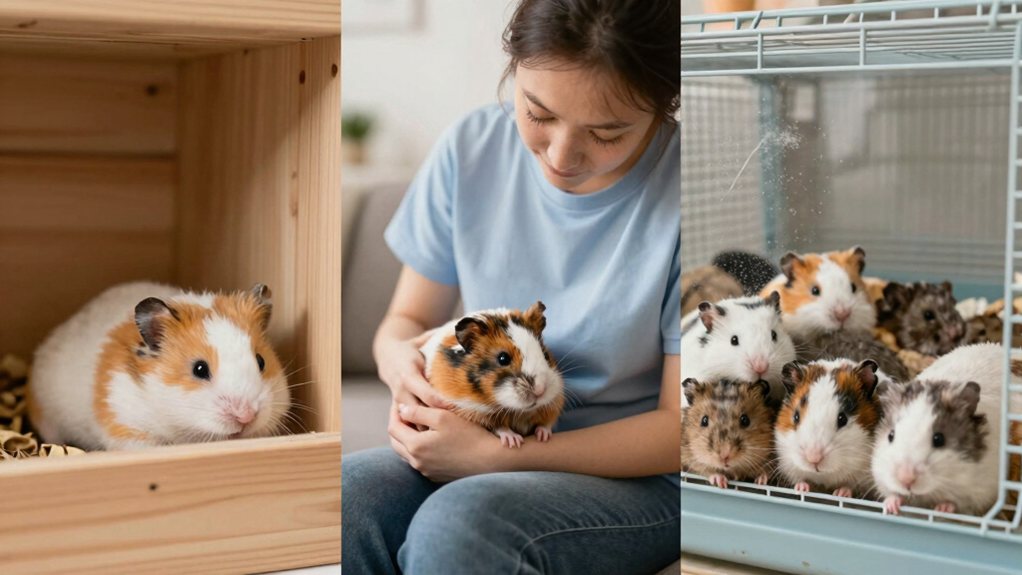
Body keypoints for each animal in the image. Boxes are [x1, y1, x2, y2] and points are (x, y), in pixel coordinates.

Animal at [420, 301, 564, 448]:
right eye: (503, 358)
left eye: (545, 355)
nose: (540, 390)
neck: (520, 412)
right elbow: (499, 427)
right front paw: (514, 442)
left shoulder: (555, 402)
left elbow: (546, 423)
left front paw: (543, 437)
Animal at [775, 359, 883, 498]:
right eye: (796, 416)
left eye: (843, 419)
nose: (813, 458)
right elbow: (800, 480)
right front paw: (802, 489)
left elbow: (849, 486)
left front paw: (840, 494)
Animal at [872, 343, 1022, 516]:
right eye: (891, 436)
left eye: (939, 439)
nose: (906, 479)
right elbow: (892, 493)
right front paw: (892, 506)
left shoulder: (979, 491)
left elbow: (956, 503)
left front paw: (942, 508)